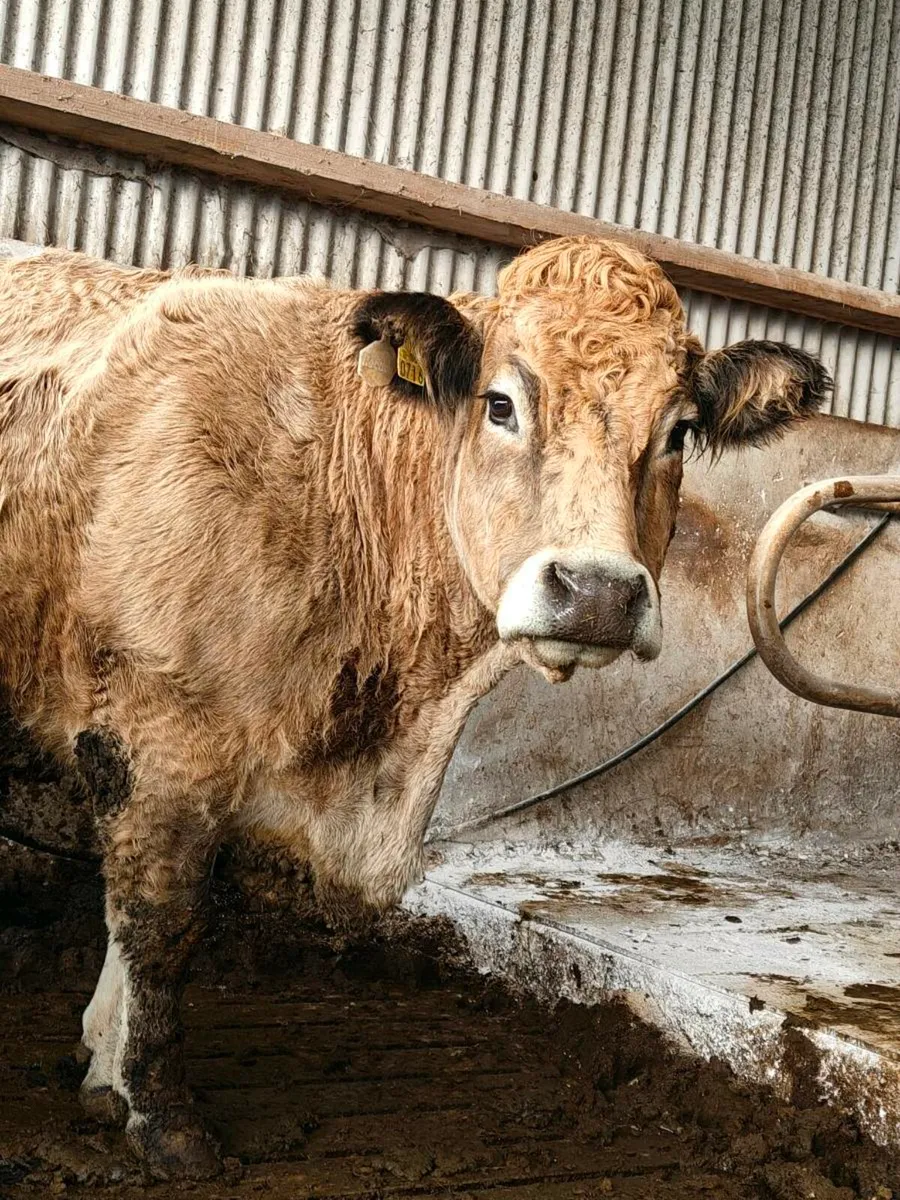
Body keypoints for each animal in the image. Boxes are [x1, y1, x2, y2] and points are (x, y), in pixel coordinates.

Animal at [0, 237, 829, 1176]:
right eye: (500, 404)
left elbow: (129, 916)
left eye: (680, 430)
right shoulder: (166, 730)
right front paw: (160, 1116)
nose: (597, 594)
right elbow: (160, 922)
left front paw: (104, 1067)